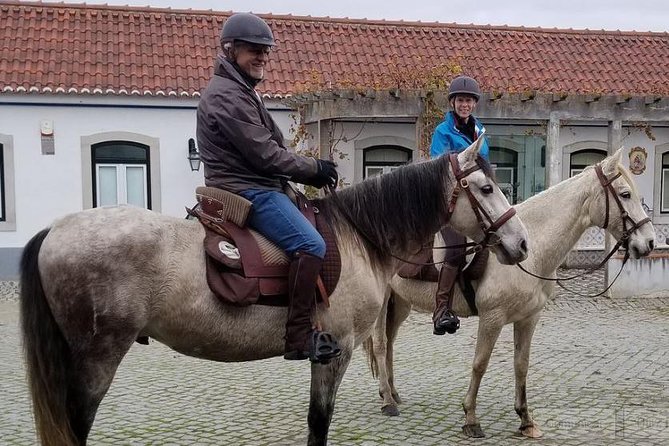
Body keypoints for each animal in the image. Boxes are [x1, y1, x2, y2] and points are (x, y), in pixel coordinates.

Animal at [18, 140, 528, 446]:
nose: (522, 243)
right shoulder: (336, 351)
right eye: (487, 186)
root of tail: (54, 230)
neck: (358, 236)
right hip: (96, 360)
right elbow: (319, 423)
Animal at [362, 149, 656, 440]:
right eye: (625, 194)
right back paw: (387, 401)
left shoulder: (528, 318)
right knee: (380, 344)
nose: (650, 242)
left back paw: (392, 393)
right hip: (382, 302)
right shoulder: (492, 318)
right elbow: (480, 364)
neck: (534, 252)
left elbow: (521, 365)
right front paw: (471, 418)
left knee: (390, 342)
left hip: (400, 303)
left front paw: (526, 420)